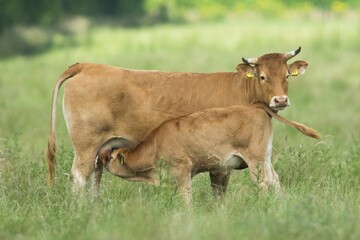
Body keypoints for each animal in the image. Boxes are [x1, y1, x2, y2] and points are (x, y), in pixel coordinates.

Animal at [46, 47, 308, 193]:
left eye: (286, 76)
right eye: (262, 76)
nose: (280, 100)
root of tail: (88, 66)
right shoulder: (221, 162)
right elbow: (218, 192)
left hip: (101, 148)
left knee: (95, 177)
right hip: (86, 146)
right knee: (79, 177)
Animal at [96, 102, 320, 203]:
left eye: (112, 156)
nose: (100, 156)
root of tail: (257, 107)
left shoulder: (183, 170)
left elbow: (186, 196)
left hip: (254, 160)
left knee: (263, 182)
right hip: (265, 158)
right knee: (275, 180)